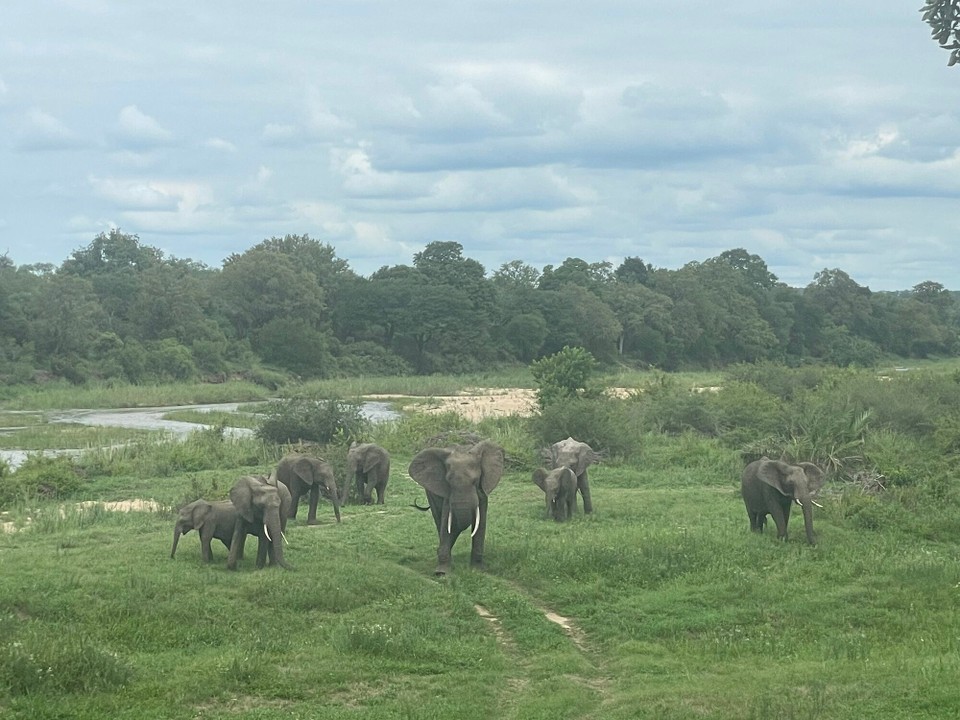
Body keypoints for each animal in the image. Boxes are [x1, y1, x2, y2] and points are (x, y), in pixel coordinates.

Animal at [408, 436, 506, 576]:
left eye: (475, 481)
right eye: (448, 481)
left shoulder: (483, 491)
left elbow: (481, 523)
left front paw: (476, 571)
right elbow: (445, 522)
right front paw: (441, 573)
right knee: (439, 520)